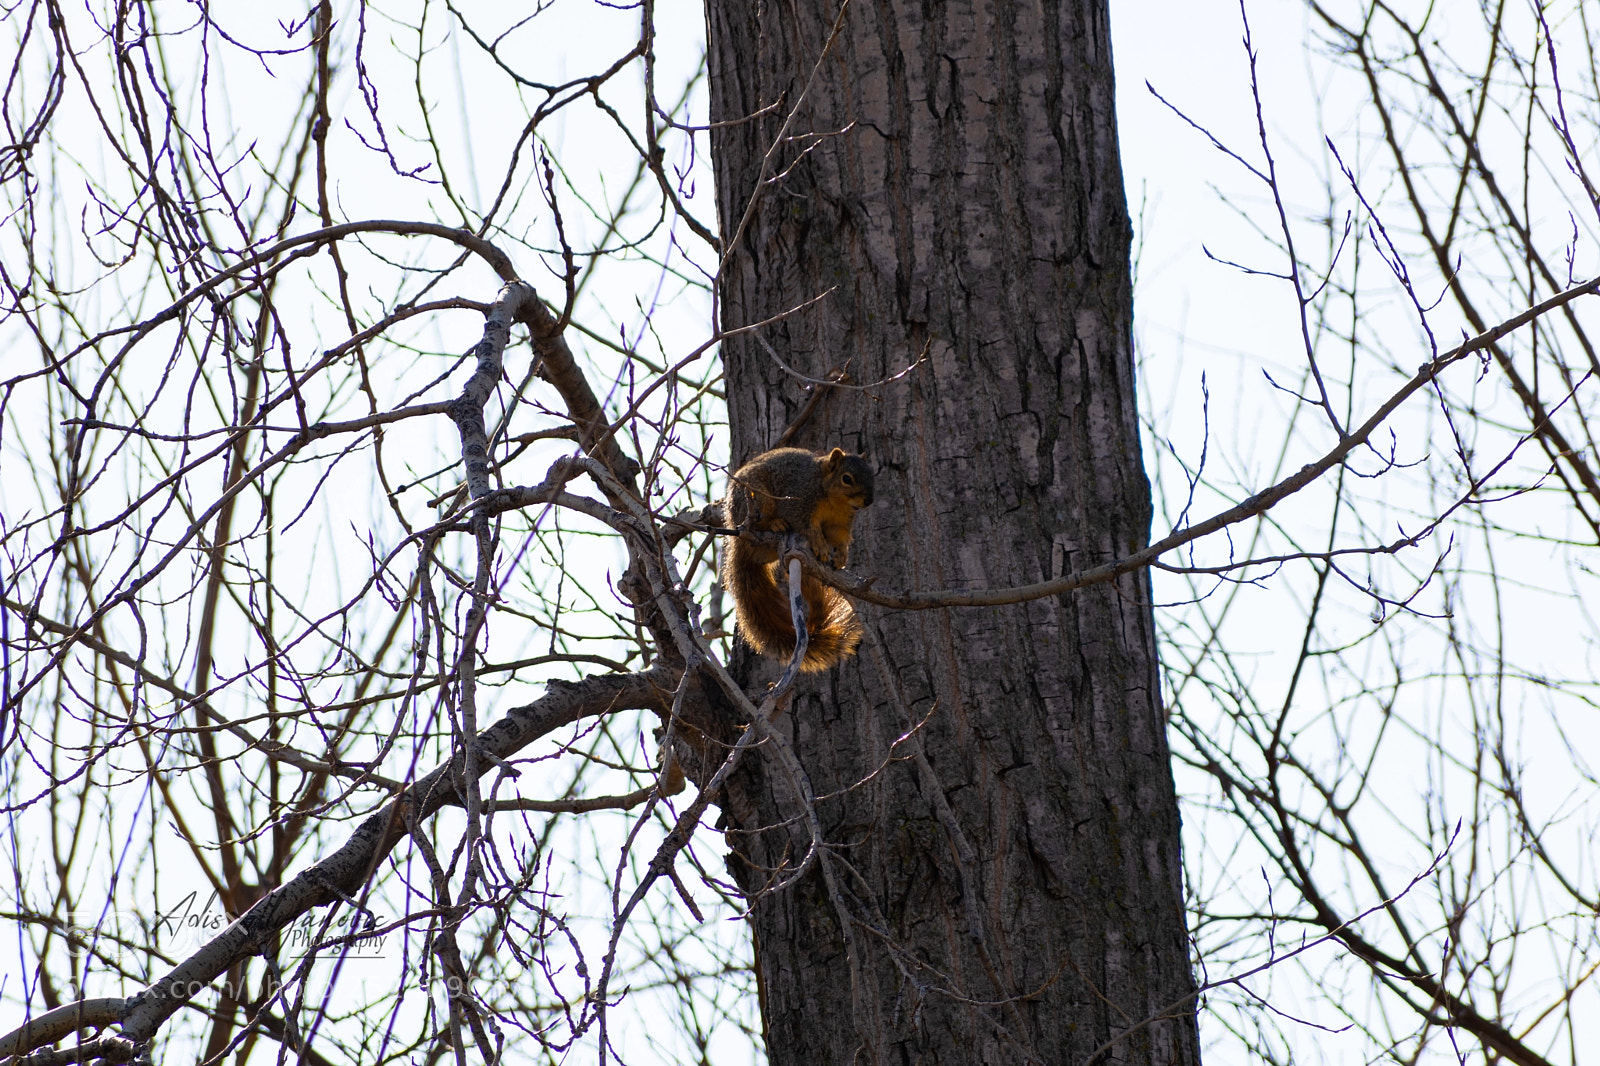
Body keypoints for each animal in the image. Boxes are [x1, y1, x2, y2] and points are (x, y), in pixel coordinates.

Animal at [720, 446, 875, 672]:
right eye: (847, 478)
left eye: (872, 474)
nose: (869, 501)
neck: (834, 499)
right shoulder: (798, 502)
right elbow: (808, 528)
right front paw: (819, 545)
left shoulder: (840, 522)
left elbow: (839, 538)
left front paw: (841, 556)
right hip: (756, 499)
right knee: (759, 522)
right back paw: (774, 524)